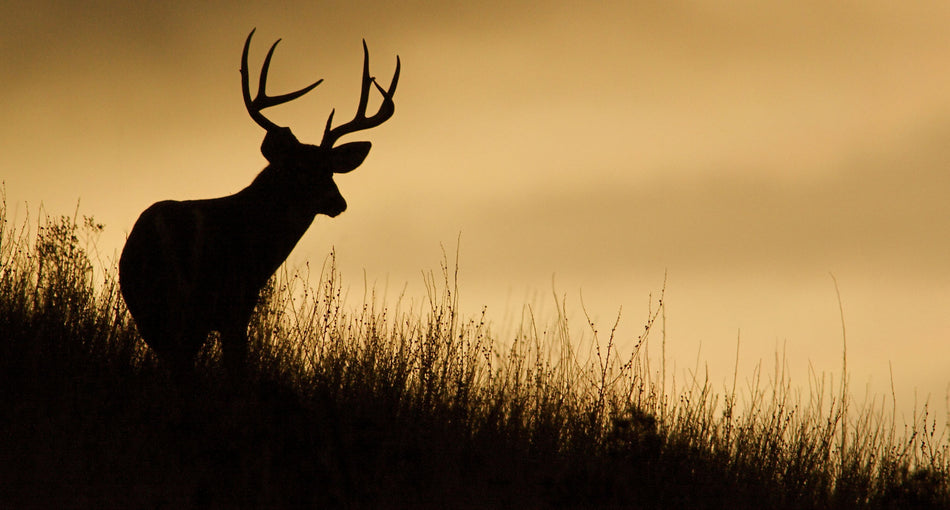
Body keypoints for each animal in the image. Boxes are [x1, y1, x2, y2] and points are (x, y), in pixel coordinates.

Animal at [118, 29, 399, 380]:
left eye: (330, 169)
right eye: (299, 168)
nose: (338, 201)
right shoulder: (237, 306)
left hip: (149, 309)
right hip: (191, 304)